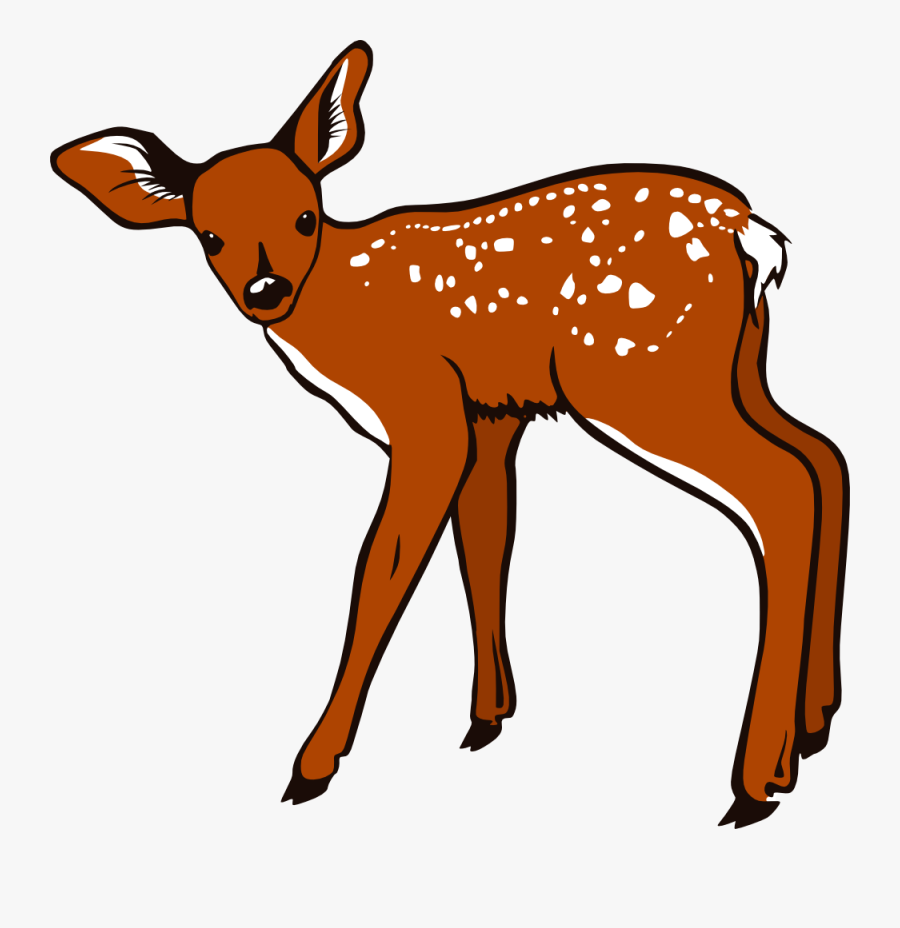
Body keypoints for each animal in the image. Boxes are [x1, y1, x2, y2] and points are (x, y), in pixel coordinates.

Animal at [51, 40, 849, 828]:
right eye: (209, 236)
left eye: (307, 216)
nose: (266, 291)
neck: (342, 307)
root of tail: (751, 233)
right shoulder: (490, 417)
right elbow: (486, 543)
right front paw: (487, 717)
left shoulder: (425, 411)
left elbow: (380, 569)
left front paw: (312, 766)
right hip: (736, 369)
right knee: (824, 457)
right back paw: (815, 725)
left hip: (638, 375)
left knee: (781, 486)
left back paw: (757, 780)